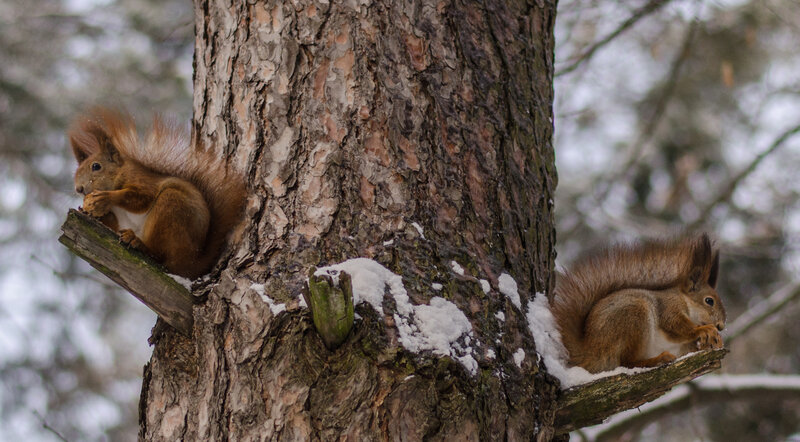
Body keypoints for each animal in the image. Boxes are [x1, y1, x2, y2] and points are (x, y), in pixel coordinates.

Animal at [69, 108, 246, 279]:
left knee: (160, 255)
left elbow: (142, 198)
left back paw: (139, 244)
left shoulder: (142, 181)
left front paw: (106, 197)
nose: (79, 189)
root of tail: (192, 263)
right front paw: (88, 211)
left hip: (171, 206)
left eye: (96, 166)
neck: (119, 174)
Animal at [550, 233, 725, 373]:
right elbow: (676, 325)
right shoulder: (668, 306)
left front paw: (713, 341)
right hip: (634, 317)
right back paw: (659, 359)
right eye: (709, 301)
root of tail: (589, 351)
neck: (685, 300)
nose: (721, 326)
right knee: (627, 362)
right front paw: (704, 330)